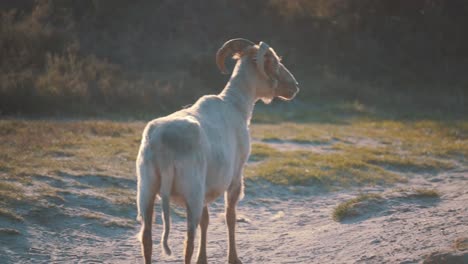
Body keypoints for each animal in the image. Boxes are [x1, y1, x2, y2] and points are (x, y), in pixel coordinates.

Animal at [135, 38, 300, 262]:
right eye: (274, 61)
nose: (295, 86)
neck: (236, 103)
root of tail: (162, 145)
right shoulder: (236, 175)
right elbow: (230, 217)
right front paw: (234, 258)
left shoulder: (208, 184)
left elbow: (206, 221)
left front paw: (203, 259)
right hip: (192, 190)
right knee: (188, 240)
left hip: (146, 188)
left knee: (147, 238)